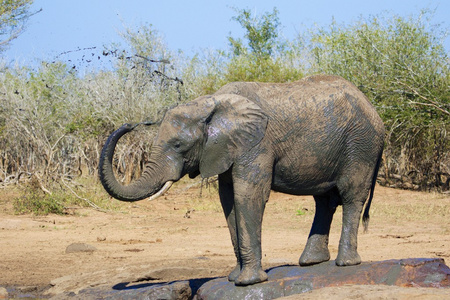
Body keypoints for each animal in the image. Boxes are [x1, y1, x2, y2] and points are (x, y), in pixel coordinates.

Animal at [100, 75, 384, 286]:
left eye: (178, 144)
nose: (132, 124)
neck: (210, 104)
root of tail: (372, 106)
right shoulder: (226, 149)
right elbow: (228, 201)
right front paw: (234, 278)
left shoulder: (257, 144)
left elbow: (248, 195)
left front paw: (248, 283)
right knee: (324, 201)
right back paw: (311, 262)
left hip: (361, 145)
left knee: (351, 195)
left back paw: (346, 263)